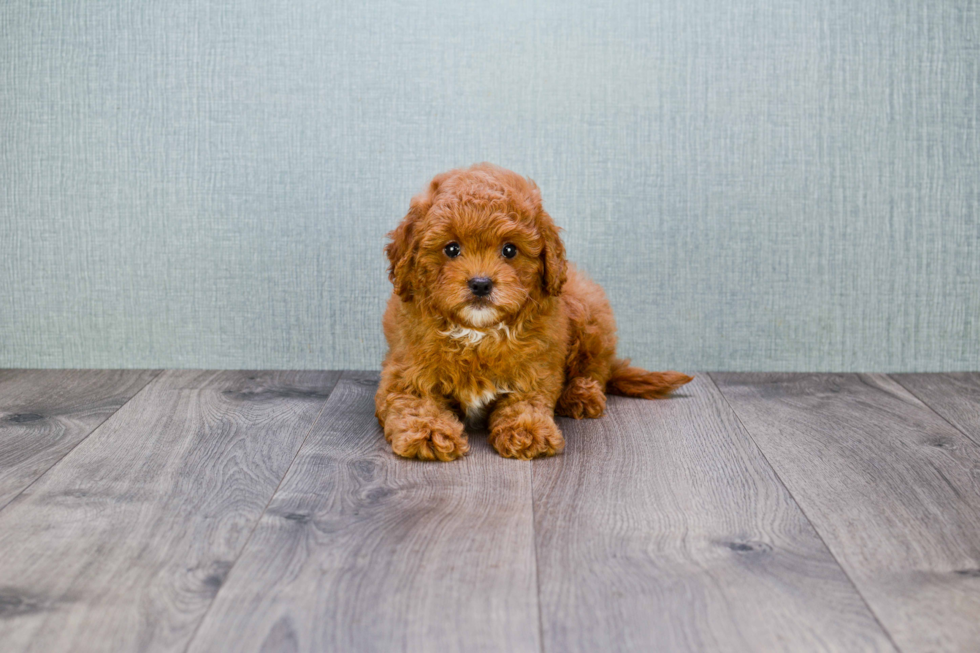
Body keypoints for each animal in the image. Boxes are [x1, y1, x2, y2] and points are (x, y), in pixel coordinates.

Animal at [374, 162, 688, 458]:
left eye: (509, 250)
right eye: (451, 249)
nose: (480, 284)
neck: (477, 334)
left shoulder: (536, 371)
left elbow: (526, 401)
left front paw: (526, 431)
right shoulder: (404, 375)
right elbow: (414, 403)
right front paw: (429, 433)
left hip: (588, 313)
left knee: (594, 369)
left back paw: (580, 396)